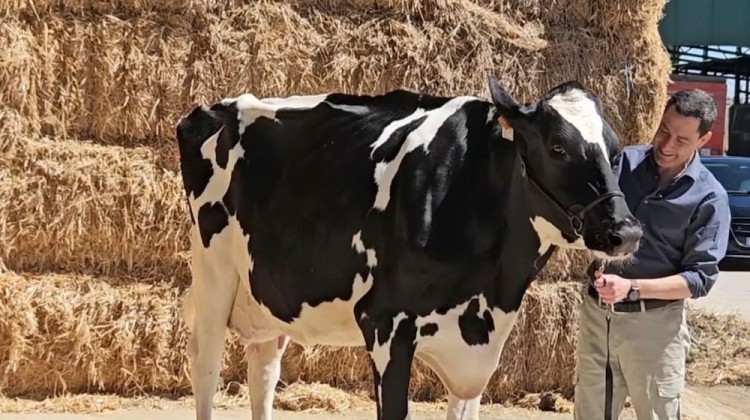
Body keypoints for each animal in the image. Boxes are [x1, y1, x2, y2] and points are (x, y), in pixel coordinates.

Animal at [175, 77, 642, 420]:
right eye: (557, 147)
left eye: (616, 149)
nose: (626, 232)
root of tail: (220, 105)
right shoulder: (385, 322)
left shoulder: (475, 350)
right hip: (215, 274)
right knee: (206, 365)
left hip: (267, 294)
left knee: (263, 371)